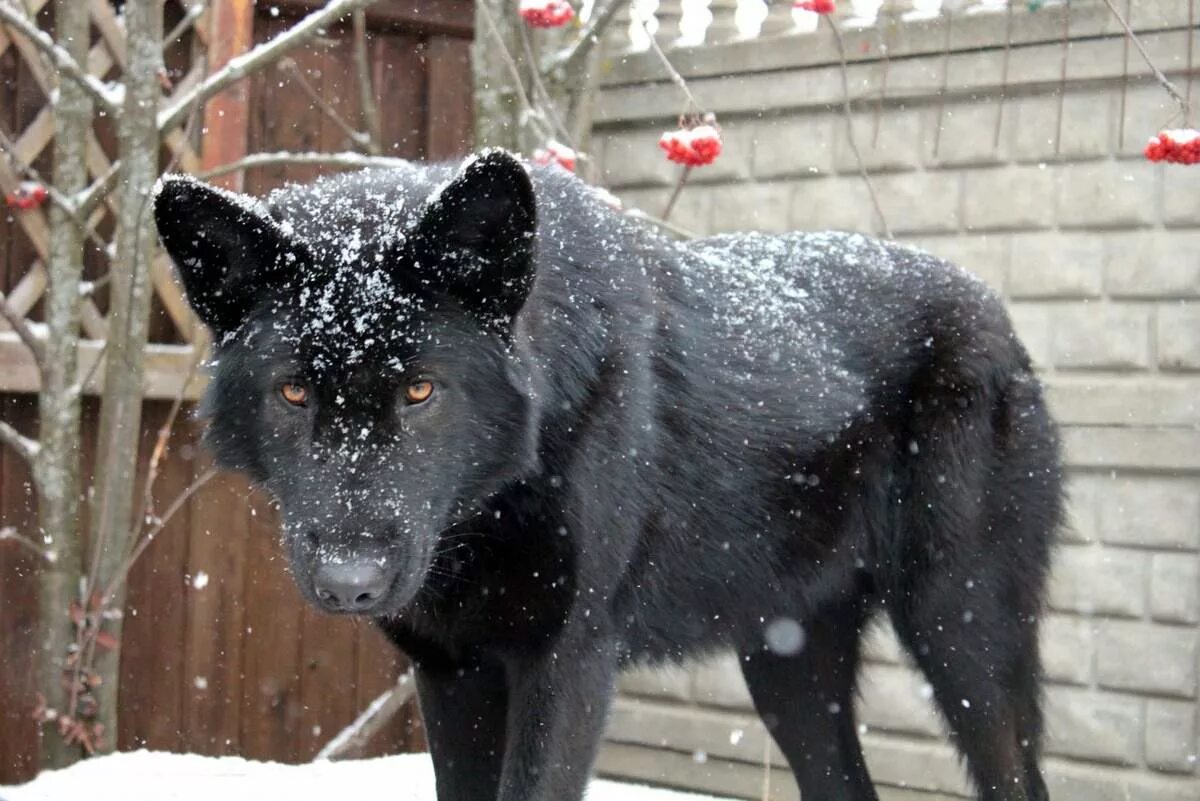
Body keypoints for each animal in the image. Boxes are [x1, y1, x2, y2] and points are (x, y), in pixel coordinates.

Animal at [152, 148, 1060, 801]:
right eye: (293, 392)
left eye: (420, 390)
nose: (350, 581)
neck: (501, 500)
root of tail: (1000, 316)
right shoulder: (452, 672)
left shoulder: (568, 664)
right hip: (787, 671)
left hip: (963, 641)